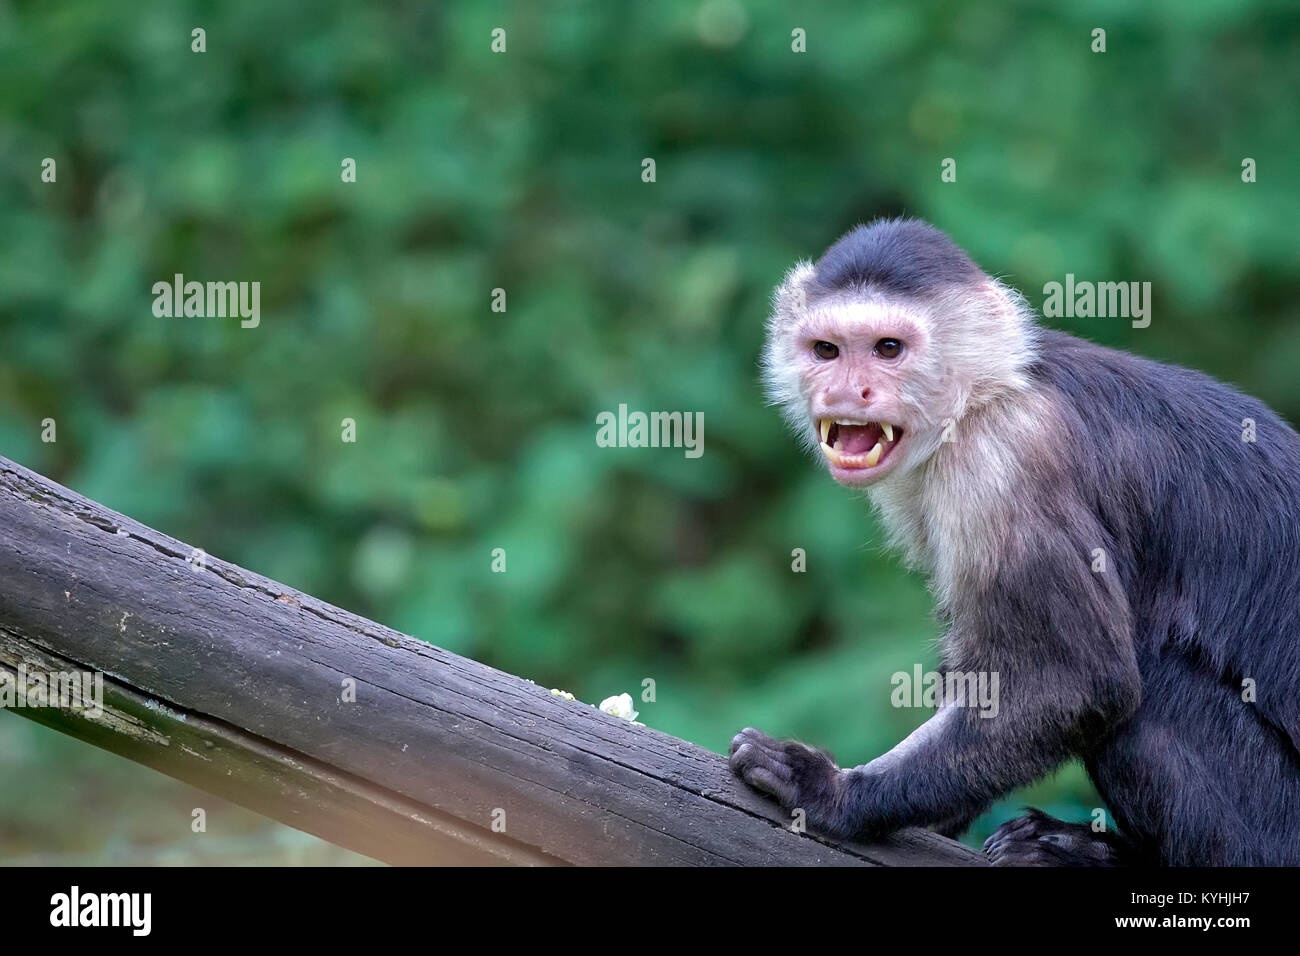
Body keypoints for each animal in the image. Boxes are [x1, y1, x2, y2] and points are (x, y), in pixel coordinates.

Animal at [728, 217, 1300, 868]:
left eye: (887, 349)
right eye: (827, 351)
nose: (850, 390)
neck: (986, 394)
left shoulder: (1005, 455)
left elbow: (1076, 683)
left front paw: (834, 795)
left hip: (1275, 828)